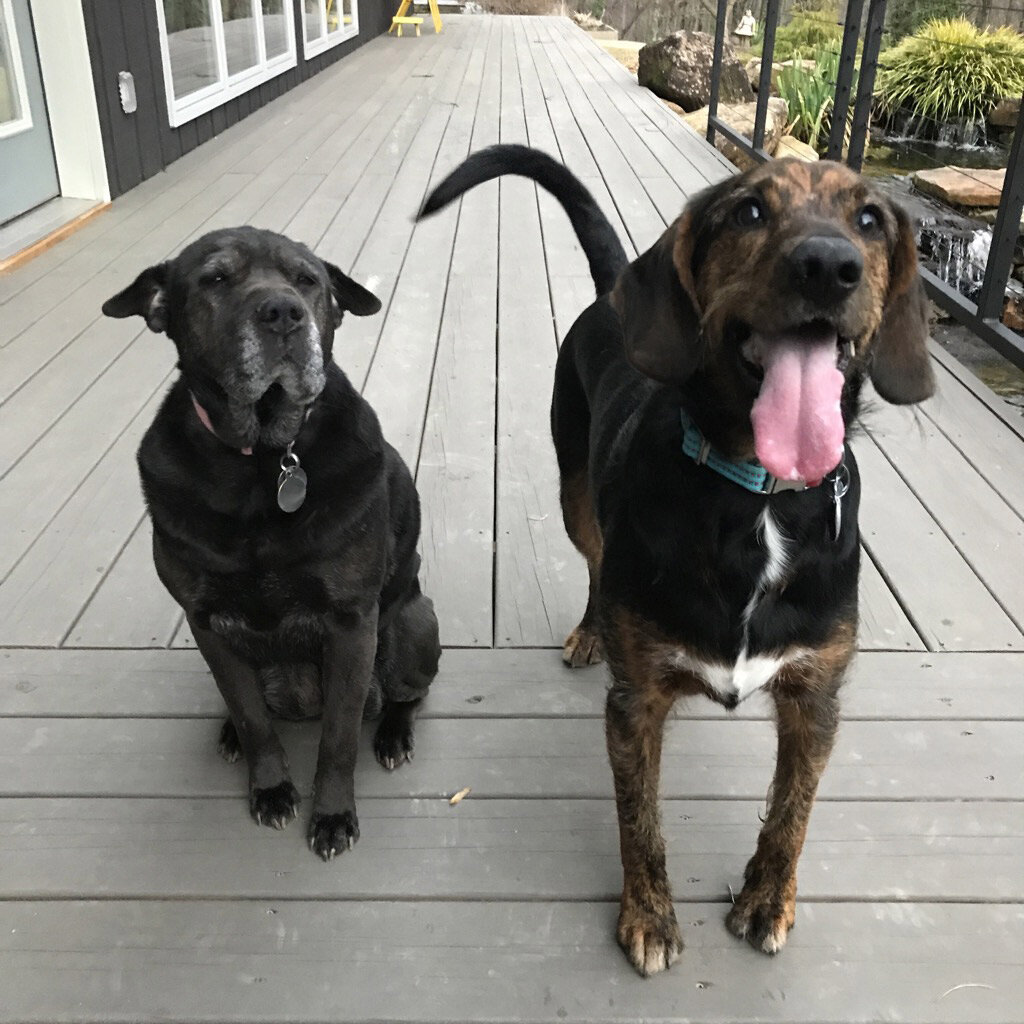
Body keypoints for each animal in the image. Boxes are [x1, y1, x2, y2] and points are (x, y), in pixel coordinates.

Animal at [103, 228, 440, 860]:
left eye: (308, 280)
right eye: (215, 278)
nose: (283, 312)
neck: (262, 459)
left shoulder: (351, 623)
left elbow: (338, 738)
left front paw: (331, 815)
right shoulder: (207, 623)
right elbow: (253, 718)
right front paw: (271, 787)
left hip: (412, 627)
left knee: (407, 695)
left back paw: (392, 734)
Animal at [419, 146, 933, 974]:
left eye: (869, 218)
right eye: (749, 210)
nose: (829, 266)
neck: (758, 498)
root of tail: (612, 297)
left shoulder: (815, 698)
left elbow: (792, 812)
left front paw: (767, 900)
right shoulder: (634, 706)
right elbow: (641, 821)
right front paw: (650, 917)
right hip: (575, 492)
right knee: (595, 560)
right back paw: (589, 630)